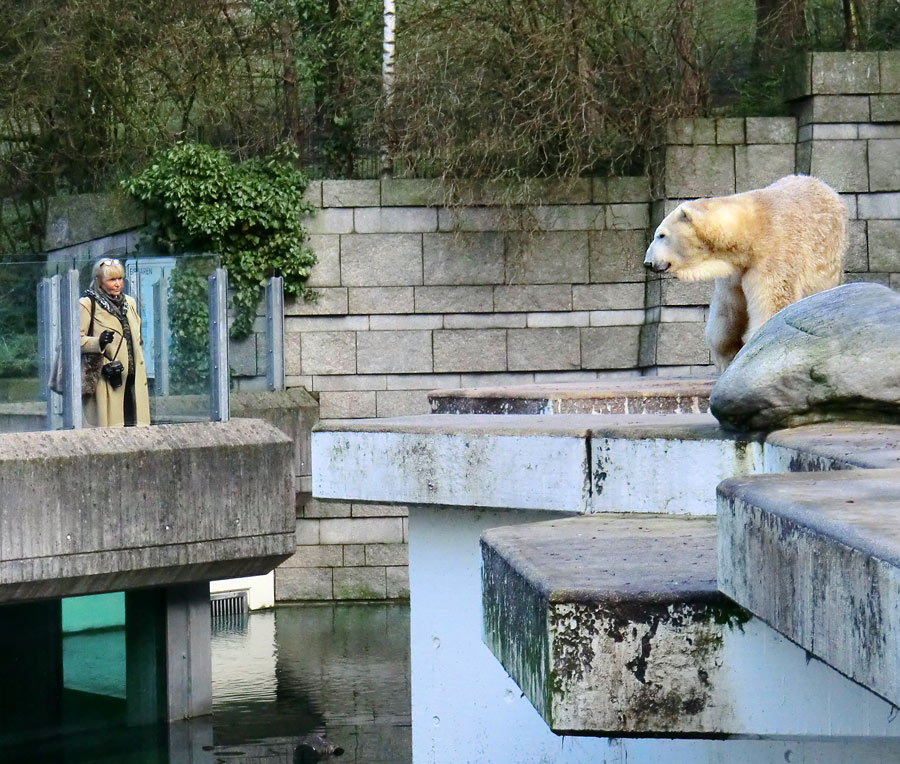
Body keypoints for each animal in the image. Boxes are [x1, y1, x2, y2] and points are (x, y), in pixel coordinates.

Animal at [644, 177, 848, 374]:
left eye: (661, 235)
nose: (648, 263)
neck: (753, 228)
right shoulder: (733, 272)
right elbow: (728, 310)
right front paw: (726, 359)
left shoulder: (775, 255)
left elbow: (772, 302)